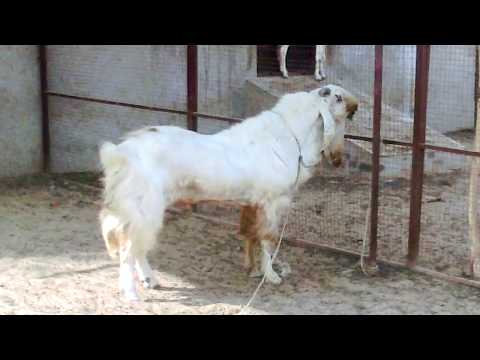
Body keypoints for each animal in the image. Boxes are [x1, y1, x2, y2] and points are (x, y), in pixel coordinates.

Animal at [99, 84, 358, 300]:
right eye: (337, 97)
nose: (355, 107)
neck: (291, 137)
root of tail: (119, 155)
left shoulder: (253, 203)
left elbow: (251, 235)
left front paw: (253, 271)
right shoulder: (271, 202)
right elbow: (268, 240)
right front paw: (271, 276)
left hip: (146, 212)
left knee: (137, 247)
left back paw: (151, 280)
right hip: (143, 209)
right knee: (128, 251)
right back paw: (132, 294)